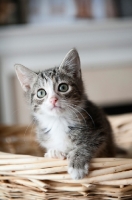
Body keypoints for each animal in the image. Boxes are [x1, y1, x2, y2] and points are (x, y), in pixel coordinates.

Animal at [14, 48, 115, 180]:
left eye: (63, 87)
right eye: (41, 93)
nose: (53, 100)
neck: (59, 121)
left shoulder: (100, 130)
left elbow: (87, 145)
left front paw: (77, 165)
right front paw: (54, 152)